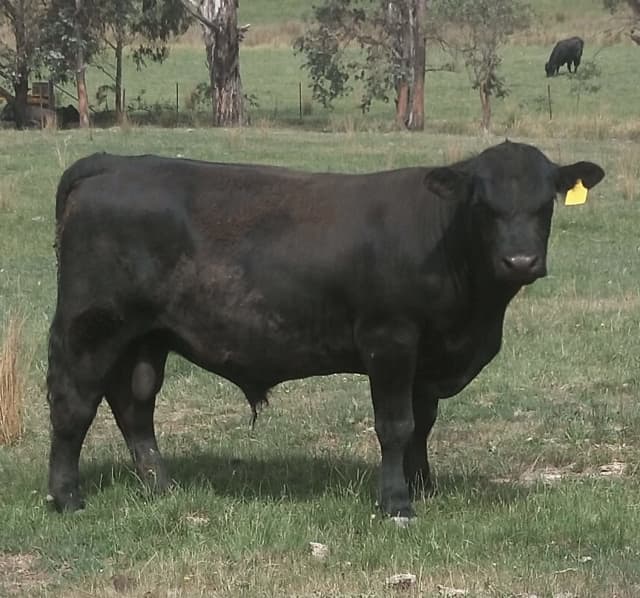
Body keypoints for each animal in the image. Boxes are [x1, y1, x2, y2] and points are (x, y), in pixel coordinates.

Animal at [46, 141, 605, 518]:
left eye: (545, 204)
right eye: (483, 206)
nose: (520, 261)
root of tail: (114, 162)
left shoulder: (427, 355)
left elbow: (423, 423)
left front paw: (423, 485)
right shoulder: (390, 340)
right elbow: (396, 424)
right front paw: (397, 502)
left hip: (146, 337)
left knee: (134, 404)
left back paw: (161, 487)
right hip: (90, 326)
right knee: (74, 404)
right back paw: (66, 496)